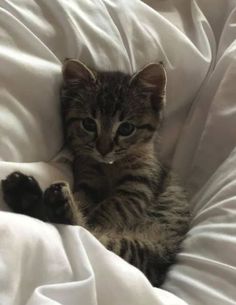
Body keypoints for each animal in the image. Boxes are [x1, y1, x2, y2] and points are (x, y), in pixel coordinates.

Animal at [1, 58, 190, 284]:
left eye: (126, 128)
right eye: (89, 124)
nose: (103, 149)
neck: (110, 166)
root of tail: (158, 271)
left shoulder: (139, 186)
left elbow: (107, 211)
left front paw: (95, 217)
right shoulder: (87, 180)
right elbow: (86, 201)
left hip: (143, 248)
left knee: (91, 236)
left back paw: (31, 196)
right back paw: (26, 194)